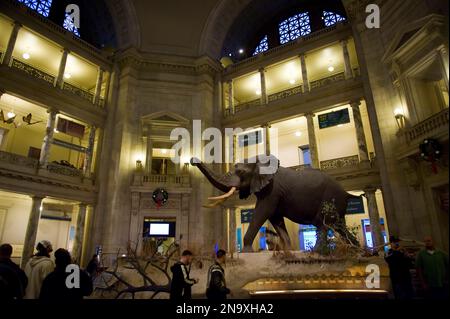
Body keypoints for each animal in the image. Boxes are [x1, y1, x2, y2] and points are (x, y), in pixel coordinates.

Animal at [190, 155, 358, 252]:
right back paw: (358, 250)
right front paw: (289, 251)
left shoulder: (272, 190)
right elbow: (276, 219)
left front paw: (246, 252)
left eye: (241, 172)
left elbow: (262, 212)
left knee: (322, 224)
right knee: (339, 226)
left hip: (330, 198)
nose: (192, 160)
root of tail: (346, 193)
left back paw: (315, 252)